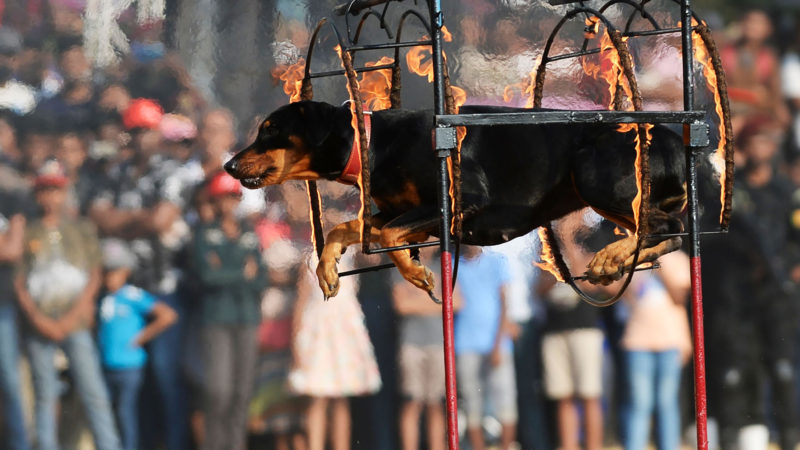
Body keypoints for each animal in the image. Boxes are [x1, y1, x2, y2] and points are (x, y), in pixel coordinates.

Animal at [225, 101, 688, 298]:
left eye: (271, 129)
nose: (228, 165)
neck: (376, 145)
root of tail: (674, 141)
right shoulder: (402, 212)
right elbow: (346, 228)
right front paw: (327, 272)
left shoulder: (462, 201)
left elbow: (390, 236)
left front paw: (417, 275)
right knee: (666, 234)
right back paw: (616, 261)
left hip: (594, 173)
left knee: (670, 227)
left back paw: (610, 256)